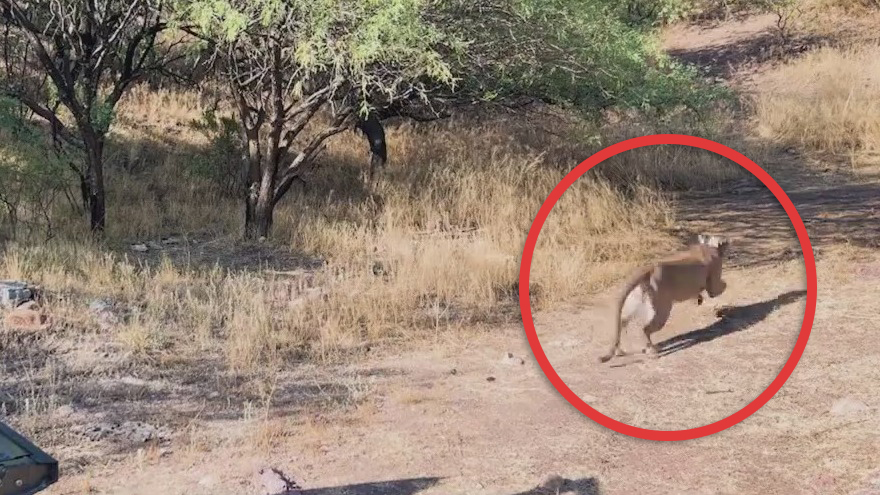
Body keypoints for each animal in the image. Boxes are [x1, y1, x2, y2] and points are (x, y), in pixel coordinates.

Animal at [597, 234, 729, 363]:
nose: (728, 241)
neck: (707, 246)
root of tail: (649, 267)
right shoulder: (713, 283)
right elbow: (722, 286)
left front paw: (699, 298)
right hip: (662, 309)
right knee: (644, 329)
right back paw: (651, 351)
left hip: (632, 304)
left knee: (622, 323)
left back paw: (620, 351)